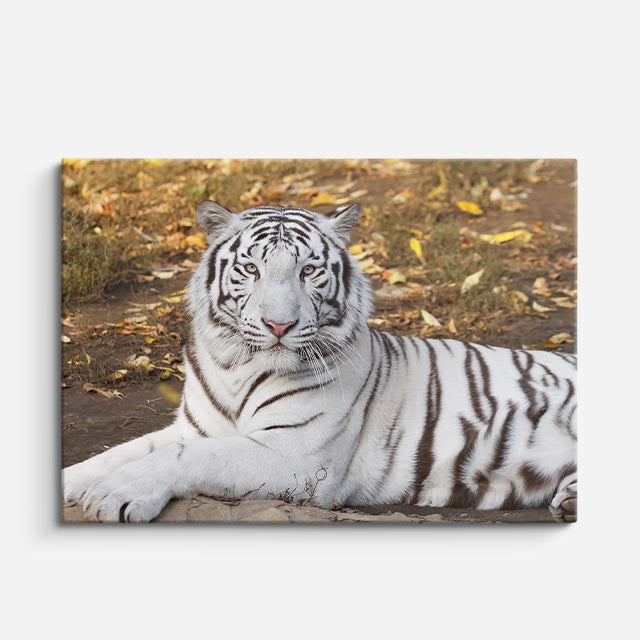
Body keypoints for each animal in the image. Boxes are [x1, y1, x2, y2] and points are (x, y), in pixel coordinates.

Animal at [63, 201, 577, 523]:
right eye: (251, 268)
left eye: (308, 270)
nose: (279, 326)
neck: (236, 366)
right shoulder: (197, 427)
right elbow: (114, 454)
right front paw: (80, 482)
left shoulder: (296, 454)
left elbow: (187, 457)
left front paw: (114, 494)